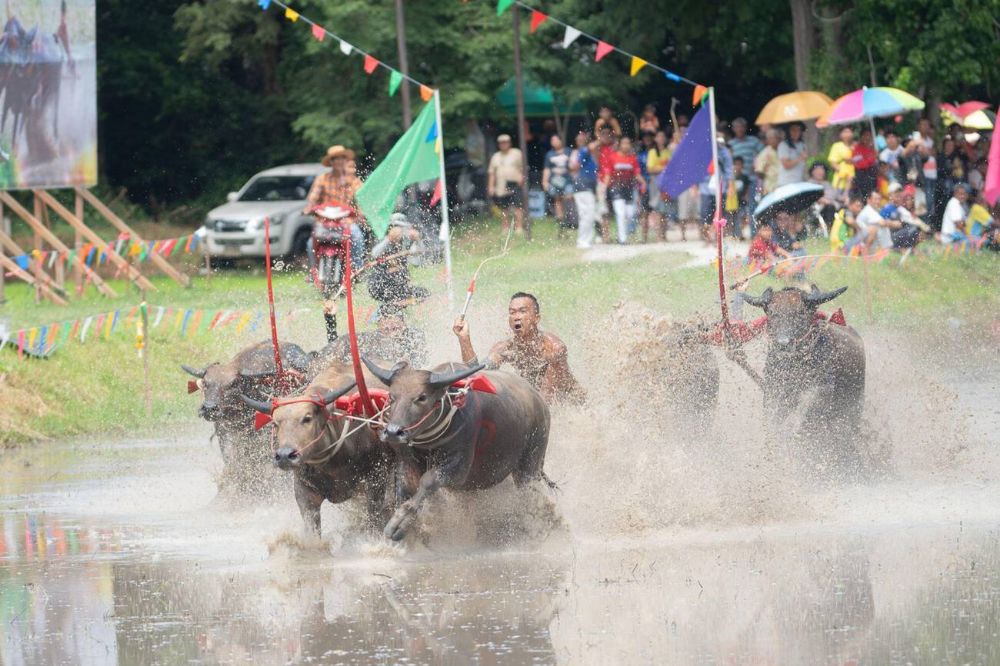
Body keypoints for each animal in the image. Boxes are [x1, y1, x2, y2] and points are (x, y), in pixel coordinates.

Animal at [240, 360, 396, 536]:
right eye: (275, 423)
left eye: (307, 418)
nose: (285, 456)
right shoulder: (305, 492)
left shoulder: (376, 481)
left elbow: (374, 522)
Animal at [360, 358, 552, 540]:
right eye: (392, 397)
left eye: (422, 397)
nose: (393, 432)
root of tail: (541, 403)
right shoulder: (406, 461)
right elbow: (404, 489)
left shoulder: (458, 469)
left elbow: (428, 480)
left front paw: (399, 523)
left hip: (530, 466)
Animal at [744, 282, 868, 474]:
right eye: (771, 312)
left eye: (801, 312)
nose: (783, 343)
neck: (795, 367)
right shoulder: (773, 392)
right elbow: (773, 422)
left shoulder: (820, 392)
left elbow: (803, 413)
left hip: (852, 411)